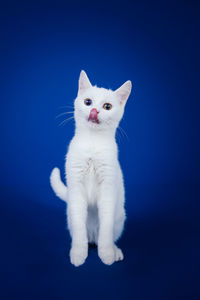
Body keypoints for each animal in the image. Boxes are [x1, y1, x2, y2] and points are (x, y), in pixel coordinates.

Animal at [49, 71, 131, 268]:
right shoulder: (76, 188)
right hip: (70, 217)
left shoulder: (108, 190)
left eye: (107, 106)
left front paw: (106, 254)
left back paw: (114, 251)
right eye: (88, 102)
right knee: (82, 234)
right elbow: (80, 229)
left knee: (107, 235)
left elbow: (106, 228)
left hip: (120, 218)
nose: (95, 110)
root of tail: (93, 235)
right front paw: (79, 254)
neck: (92, 144)